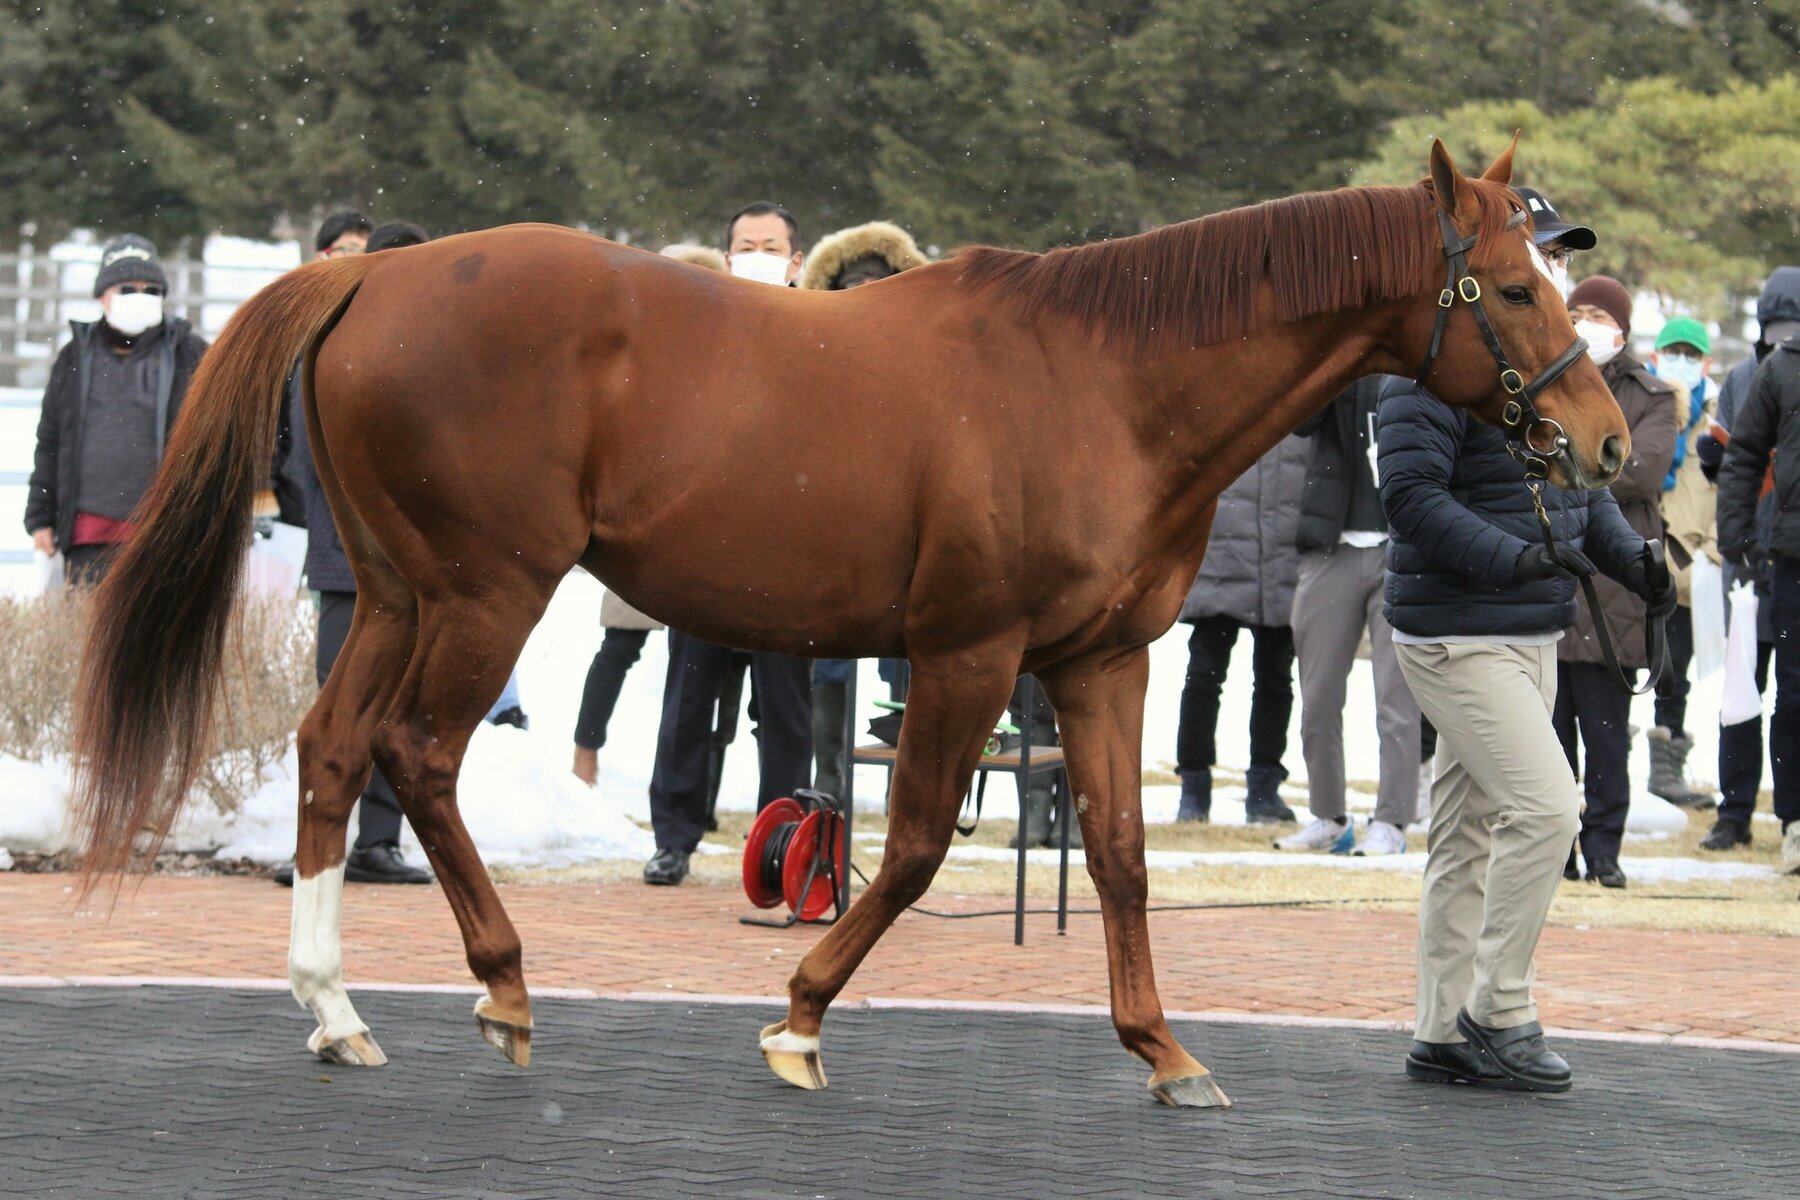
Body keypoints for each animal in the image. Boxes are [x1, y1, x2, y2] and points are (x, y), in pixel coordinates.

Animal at [73, 137, 1626, 1107]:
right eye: (1508, 286)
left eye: (1555, 279)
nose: (1608, 445)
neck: (1104, 379)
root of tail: (375, 270)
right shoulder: (967, 651)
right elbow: (923, 842)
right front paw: (802, 1018)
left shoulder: (1098, 661)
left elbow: (1121, 855)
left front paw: (1165, 1052)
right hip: (485, 592)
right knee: (417, 755)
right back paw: (502, 991)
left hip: (400, 594)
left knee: (334, 749)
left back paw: (335, 1011)